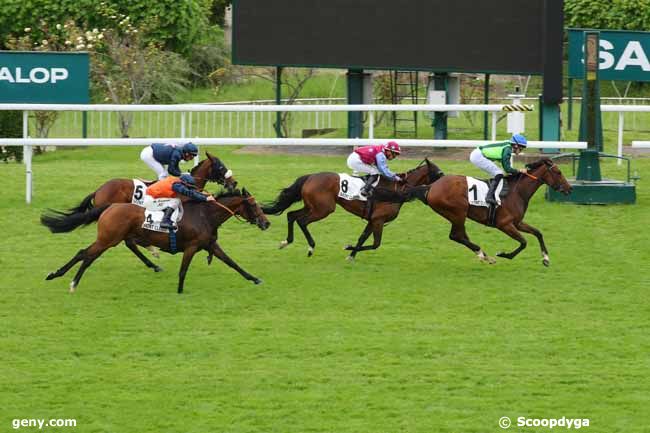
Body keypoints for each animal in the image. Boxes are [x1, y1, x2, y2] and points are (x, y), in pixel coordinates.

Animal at [43, 189, 270, 294]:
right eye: (254, 205)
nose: (266, 223)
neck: (205, 215)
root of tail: (110, 206)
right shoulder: (192, 247)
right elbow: (183, 270)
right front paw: (179, 291)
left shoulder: (210, 245)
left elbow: (233, 263)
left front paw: (254, 279)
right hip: (108, 239)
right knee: (87, 256)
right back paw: (71, 283)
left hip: (110, 239)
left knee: (84, 253)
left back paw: (57, 275)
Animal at [260, 159, 442, 260]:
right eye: (439, 173)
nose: (444, 183)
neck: (396, 190)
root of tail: (310, 176)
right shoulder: (379, 220)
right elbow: (375, 244)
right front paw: (348, 248)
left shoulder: (373, 220)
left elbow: (363, 238)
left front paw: (351, 255)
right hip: (324, 209)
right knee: (302, 221)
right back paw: (311, 247)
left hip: (312, 206)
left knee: (291, 215)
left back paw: (286, 242)